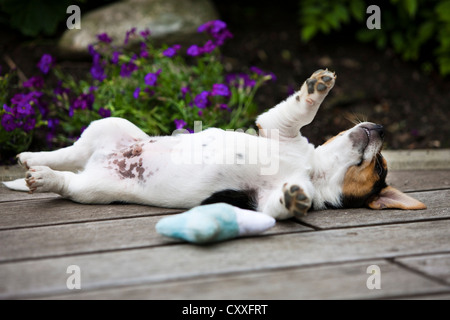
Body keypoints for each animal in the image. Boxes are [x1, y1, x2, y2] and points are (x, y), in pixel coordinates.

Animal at [3, 70, 426, 220]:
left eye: (380, 167)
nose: (382, 127)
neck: (311, 168)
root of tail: (101, 161)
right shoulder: (277, 127)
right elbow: (300, 112)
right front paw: (317, 88)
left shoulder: (260, 200)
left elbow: (282, 204)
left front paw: (295, 199)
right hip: (110, 126)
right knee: (67, 152)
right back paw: (28, 157)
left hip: (91, 189)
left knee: (67, 178)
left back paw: (40, 177)